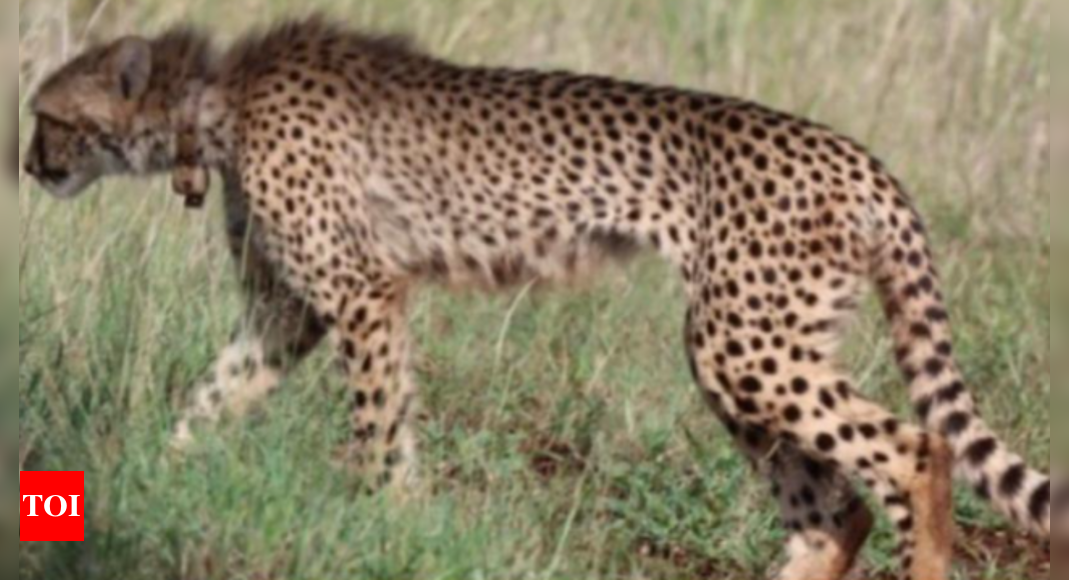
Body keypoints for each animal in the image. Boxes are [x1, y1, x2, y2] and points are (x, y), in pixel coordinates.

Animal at [22, 16, 1055, 580]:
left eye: (45, 116)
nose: (27, 165)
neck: (213, 102)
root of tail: (859, 155)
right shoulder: (293, 313)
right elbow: (213, 394)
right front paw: (149, 474)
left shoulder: (362, 295)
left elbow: (375, 428)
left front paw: (378, 521)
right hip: (747, 349)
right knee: (832, 507)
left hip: (745, 343)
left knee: (915, 451)